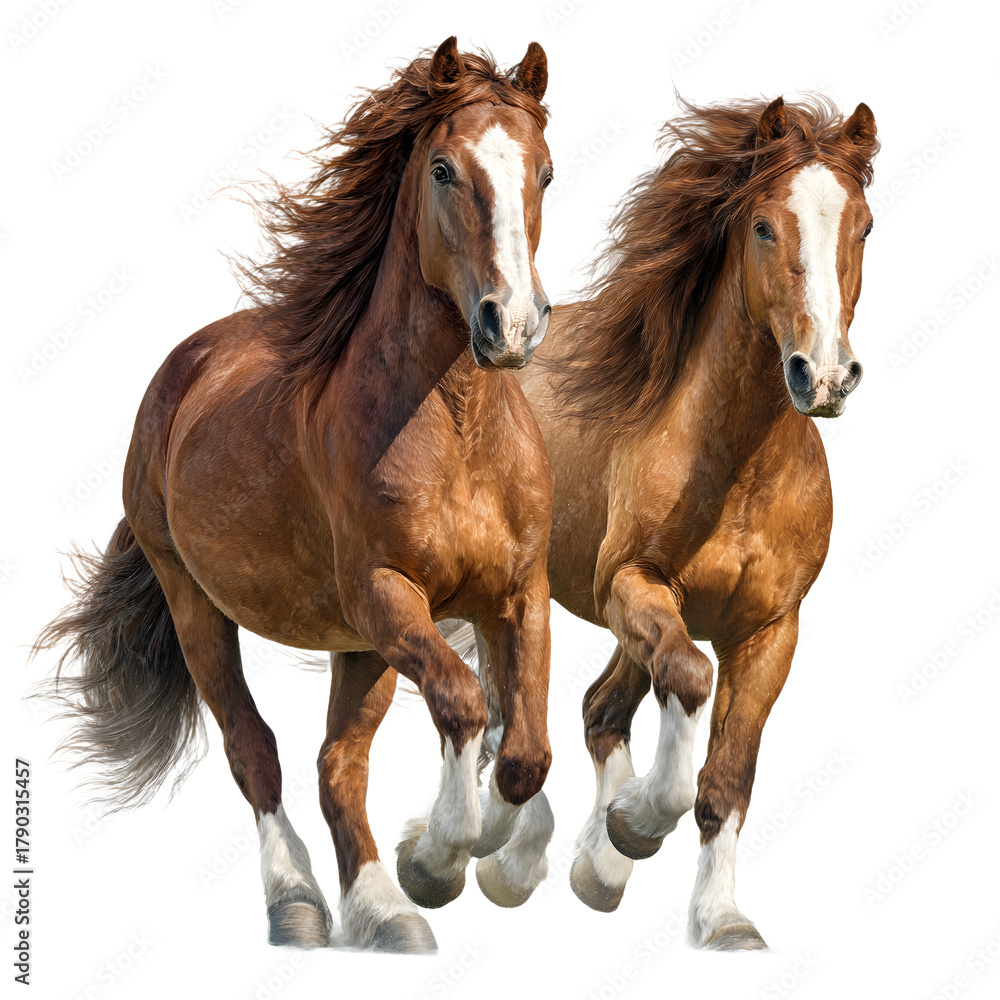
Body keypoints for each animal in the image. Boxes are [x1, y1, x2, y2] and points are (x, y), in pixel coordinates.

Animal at [34, 37, 557, 954]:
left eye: (546, 173)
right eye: (445, 170)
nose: (512, 325)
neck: (457, 431)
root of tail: (180, 370)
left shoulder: (518, 593)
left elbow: (525, 750)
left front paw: (492, 862)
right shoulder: (387, 592)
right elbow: (463, 703)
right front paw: (441, 857)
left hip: (359, 644)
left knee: (338, 766)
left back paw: (385, 913)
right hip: (200, 604)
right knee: (257, 751)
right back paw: (302, 904)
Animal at [456, 95, 880, 949]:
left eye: (863, 226)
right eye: (763, 227)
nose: (822, 376)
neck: (740, 468)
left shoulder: (769, 630)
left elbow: (727, 777)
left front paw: (719, 919)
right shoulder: (635, 584)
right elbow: (687, 676)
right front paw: (638, 824)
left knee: (596, 707)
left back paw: (592, 867)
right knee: (516, 708)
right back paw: (515, 857)